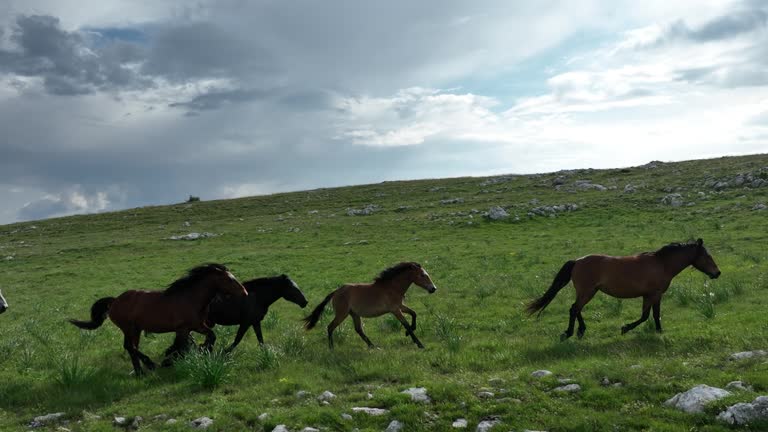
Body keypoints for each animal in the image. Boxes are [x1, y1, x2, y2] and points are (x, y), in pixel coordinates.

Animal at [70, 264, 246, 374]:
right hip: (128, 328)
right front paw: (172, 360)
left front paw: (203, 350)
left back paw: (140, 372)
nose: (244, 293)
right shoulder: (184, 328)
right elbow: (182, 346)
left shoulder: (196, 326)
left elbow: (210, 336)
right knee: (130, 346)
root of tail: (114, 301)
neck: (190, 298)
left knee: (131, 347)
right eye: (230, 279)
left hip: (136, 329)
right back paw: (150, 365)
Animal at [164, 276, 306, 358]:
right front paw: (225, 352)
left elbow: (260, 340)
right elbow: (237, 339)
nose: (305, 302)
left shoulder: (255, 322)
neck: (257, 297)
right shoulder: (245, 323)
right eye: (293, 288)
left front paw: (266, 354)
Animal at [304, 262, 438, 350]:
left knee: (358, 330)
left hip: (354, 314)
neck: (392, 288)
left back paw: (373, 346)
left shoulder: (400, 306)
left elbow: (414, 313)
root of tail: (336, 291)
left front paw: (408, 332)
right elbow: (406, 323)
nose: (433, 289)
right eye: (422, 275)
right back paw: (331, 348)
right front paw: (419, 344)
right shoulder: (395, 310)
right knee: (330, 327)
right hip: (342, 314)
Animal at [528, 240, 720, 340]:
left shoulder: (647, 295)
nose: (717, 273)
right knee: (574, 309)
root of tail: (577, 261)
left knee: (576, 309)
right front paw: (634, 329)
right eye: (707, 255)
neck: (662, 264)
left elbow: (646, 316)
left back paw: (580, 330)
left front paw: (629, 328)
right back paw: (569, 333)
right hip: (587, 291)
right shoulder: (655, 294)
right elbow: (652, 315)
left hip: (589, 292)